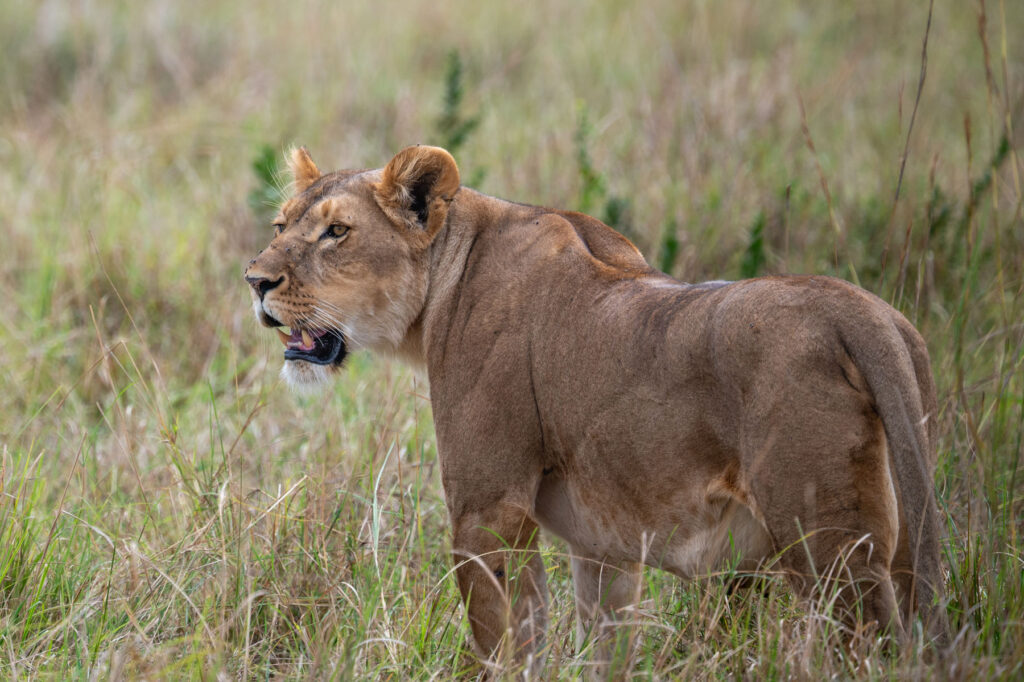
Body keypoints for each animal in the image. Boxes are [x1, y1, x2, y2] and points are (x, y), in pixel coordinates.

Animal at [244, 144, 947, 666]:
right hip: (903, 533)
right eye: (280, 227)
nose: (255, 281)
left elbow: (505, 649)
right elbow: (601, 646)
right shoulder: (604, 549)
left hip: (831, 547)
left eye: (337, 232)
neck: (446, 282)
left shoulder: (488, 512)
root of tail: (858, 309)